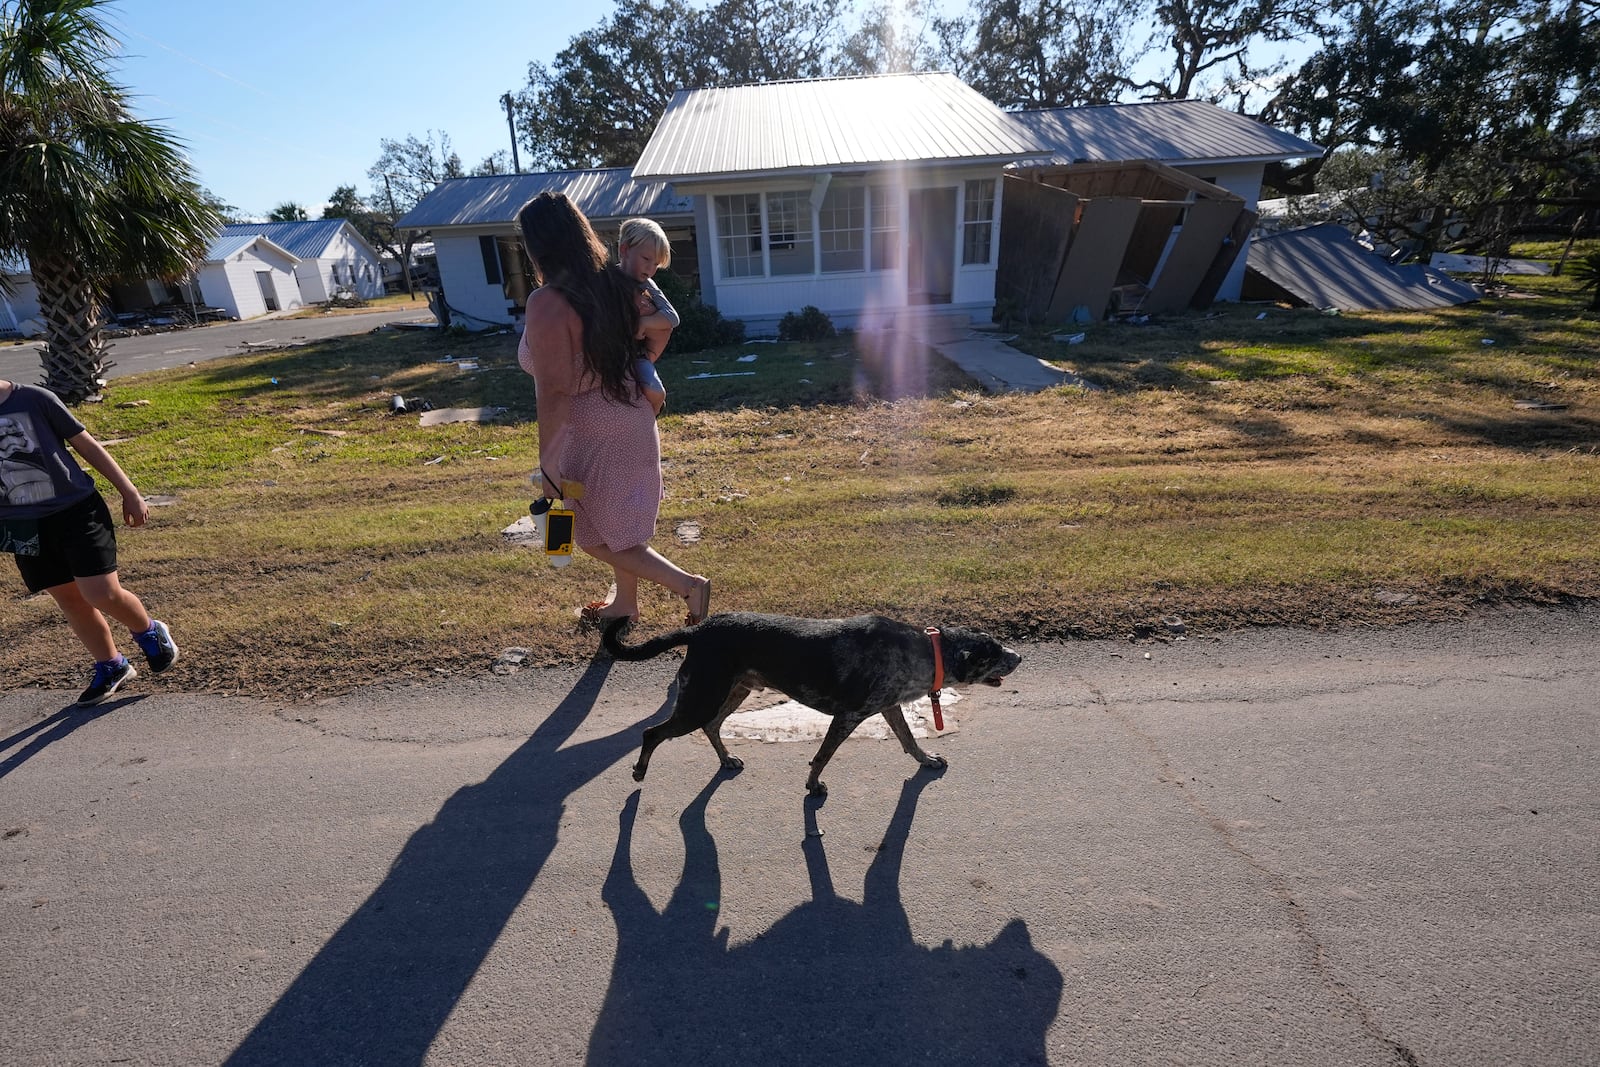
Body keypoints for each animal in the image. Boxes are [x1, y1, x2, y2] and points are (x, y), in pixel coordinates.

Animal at [601, 617, 1024, 793]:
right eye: (992, 653)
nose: (1019, 657)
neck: (925, 650)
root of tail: (698, 628)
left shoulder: (888, 707)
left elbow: (909, 741)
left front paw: (927, 760)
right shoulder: (848, 716)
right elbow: (822, 756)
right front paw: (812, 785)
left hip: (734, 691)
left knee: (713, 726)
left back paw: (726, 759)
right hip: (700, 700)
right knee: (652, 733)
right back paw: (639, 770)